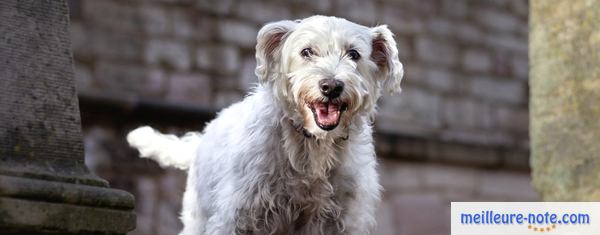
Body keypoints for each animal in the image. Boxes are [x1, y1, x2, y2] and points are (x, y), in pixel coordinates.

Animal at [129, 15, 406, 234]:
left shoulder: (345, 220)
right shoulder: (237, 215)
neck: (312, 146)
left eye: (354, 54)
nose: (331, 86)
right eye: (307, 52)